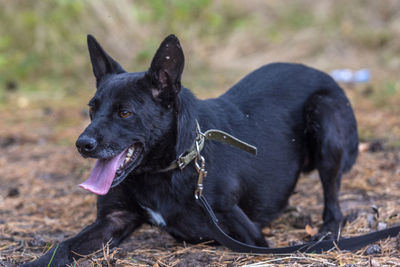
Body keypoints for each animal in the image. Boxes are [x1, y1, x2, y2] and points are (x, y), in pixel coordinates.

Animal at [23, 34, 358, 266]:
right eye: (92, 108)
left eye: (125, 113)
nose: (82, 145)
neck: (163, 170)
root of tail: (324, 74)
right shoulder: (112, 219)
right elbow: (64, 245)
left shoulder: (251, 237)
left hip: (325, 116)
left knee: (334, 203)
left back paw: (326, 232)